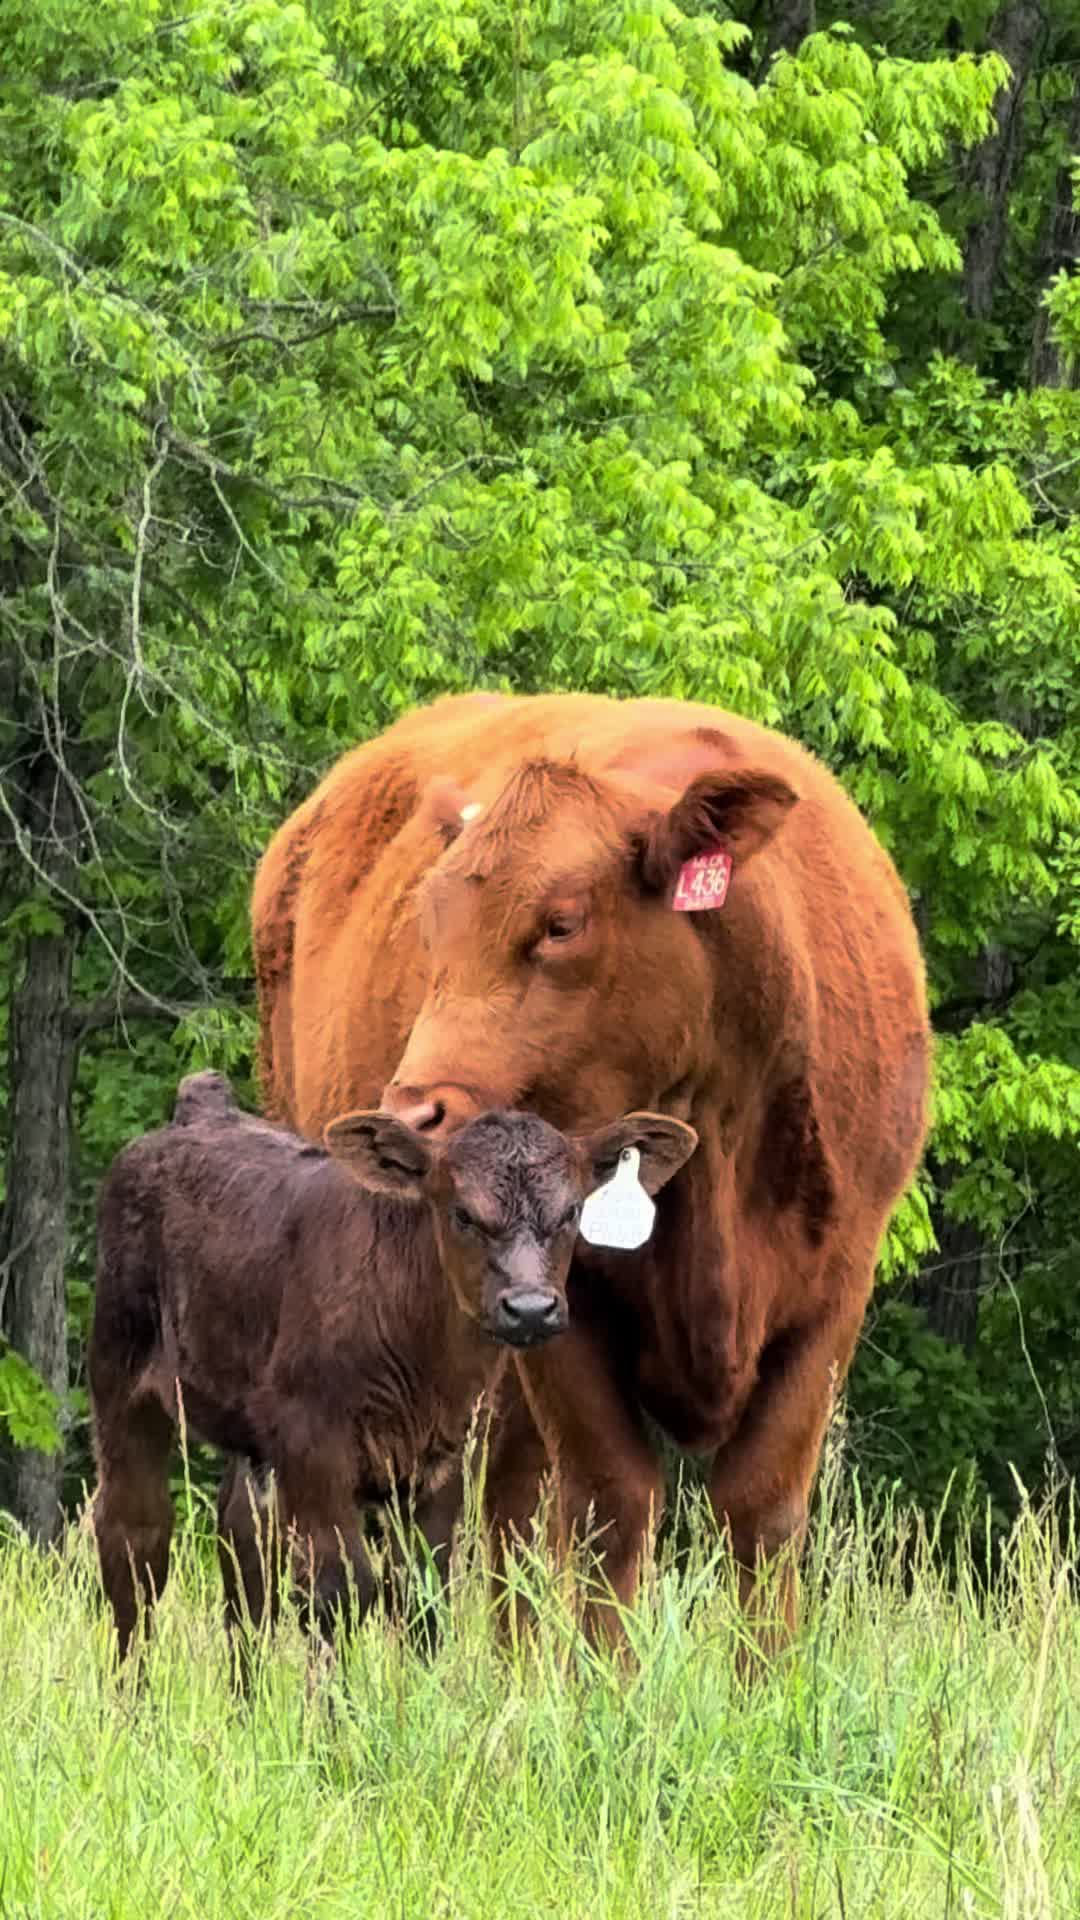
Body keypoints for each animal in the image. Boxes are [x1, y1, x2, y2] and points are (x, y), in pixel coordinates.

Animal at [89, 1068, 696, 1668]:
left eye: (571, 1212)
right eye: (462, 1214)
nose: (530, 1307)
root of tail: (202, 1111)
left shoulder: (443, 1455)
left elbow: (422, 1594)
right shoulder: (312, 1446)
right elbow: (337, 1590)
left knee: (243, 1541)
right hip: (120, 1369)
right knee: (134, 1539)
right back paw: (132, 1687)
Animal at [252, 691, 931, 1652]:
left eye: (561, 923)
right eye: (429, 927)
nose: (411, 1109)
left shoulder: (833, 1294)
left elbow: (762, 1510)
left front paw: (773, 1679)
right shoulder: (561, 1310)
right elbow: (611, 1503)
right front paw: (604, 1683)